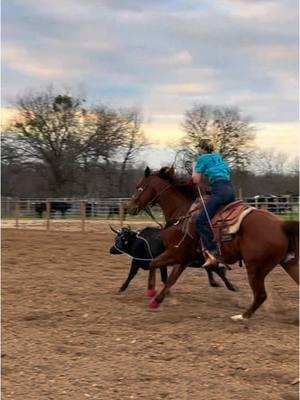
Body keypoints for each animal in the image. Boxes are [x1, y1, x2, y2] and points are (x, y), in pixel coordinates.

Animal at [108, 227, 237, 292]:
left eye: (118, 239)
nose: (111, 249)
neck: (139, 241)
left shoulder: (137, 261)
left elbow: (131, 274)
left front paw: (122, 288)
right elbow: (164, 278)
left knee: (217, 269)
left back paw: (230, 286)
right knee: (211, 268)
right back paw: (215, 282)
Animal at [126, 167, 298, 320]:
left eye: (139, 187)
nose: (130, 207)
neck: (183, 213)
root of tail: (281, 225)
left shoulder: (177, 254)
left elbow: (156, 265)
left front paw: (152, 294)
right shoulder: (185, 259)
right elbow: (170, 277)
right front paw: (157, 298)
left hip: (255, 268)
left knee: (260, 295)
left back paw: (242, 317)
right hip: (289, 263)